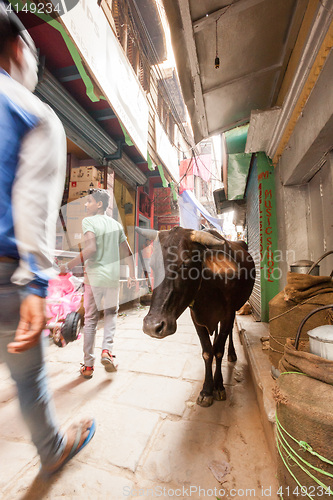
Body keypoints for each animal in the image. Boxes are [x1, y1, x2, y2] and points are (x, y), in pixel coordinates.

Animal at [140, 227, 254, 406]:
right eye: (152, 265)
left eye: (186, 264)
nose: (152, 326)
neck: (210, 288)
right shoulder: (196, 318)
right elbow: (207, 352)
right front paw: (207, 390)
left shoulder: (228, 314)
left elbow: (218, 351)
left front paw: (219, 386)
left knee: (228, 334)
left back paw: (232, 354)